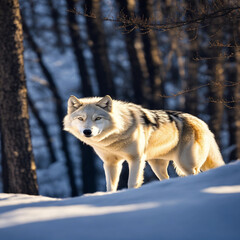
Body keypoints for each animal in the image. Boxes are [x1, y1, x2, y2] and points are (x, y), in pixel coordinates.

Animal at [63, 95, 223, 191]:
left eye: (97, 118)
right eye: (81, 118)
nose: (87, 132)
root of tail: (201, 122)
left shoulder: (136, 159)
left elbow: (132, 183)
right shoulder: (110, 163)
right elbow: (111, 186)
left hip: (186, 165)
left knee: (193, 174)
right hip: (157, 166)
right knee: (166, 178)